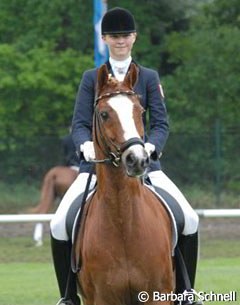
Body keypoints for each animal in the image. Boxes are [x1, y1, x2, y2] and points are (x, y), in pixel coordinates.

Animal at [75, 63, 174, 302]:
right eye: (104, 114)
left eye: (140, 111)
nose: (137, 159)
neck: (123, 221)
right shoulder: (102, 298)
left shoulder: (158, 295)